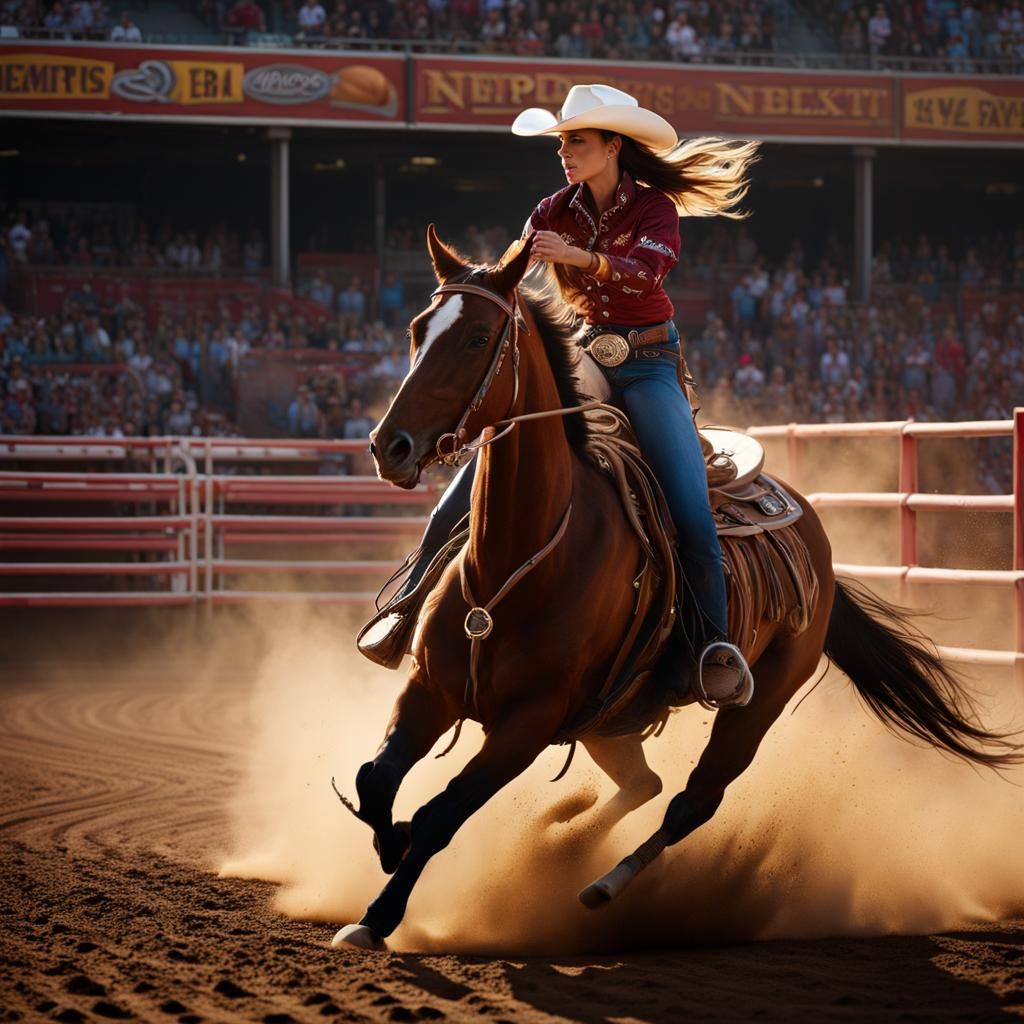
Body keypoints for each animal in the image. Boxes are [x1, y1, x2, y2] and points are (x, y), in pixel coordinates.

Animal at [331, 226, 1018, 951]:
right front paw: (389, 846)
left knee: (692, 800)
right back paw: (559, 834)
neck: (518, 565)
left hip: (759, 701)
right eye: (417, 329)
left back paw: (602, 882)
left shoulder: (528, 723)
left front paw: (377, 916)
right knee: (645, 783)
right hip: (611, 720)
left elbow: (442, 813)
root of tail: (816, 538)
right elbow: (375, 780)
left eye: (476, 337)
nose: (389, 445)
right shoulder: (429, 688)